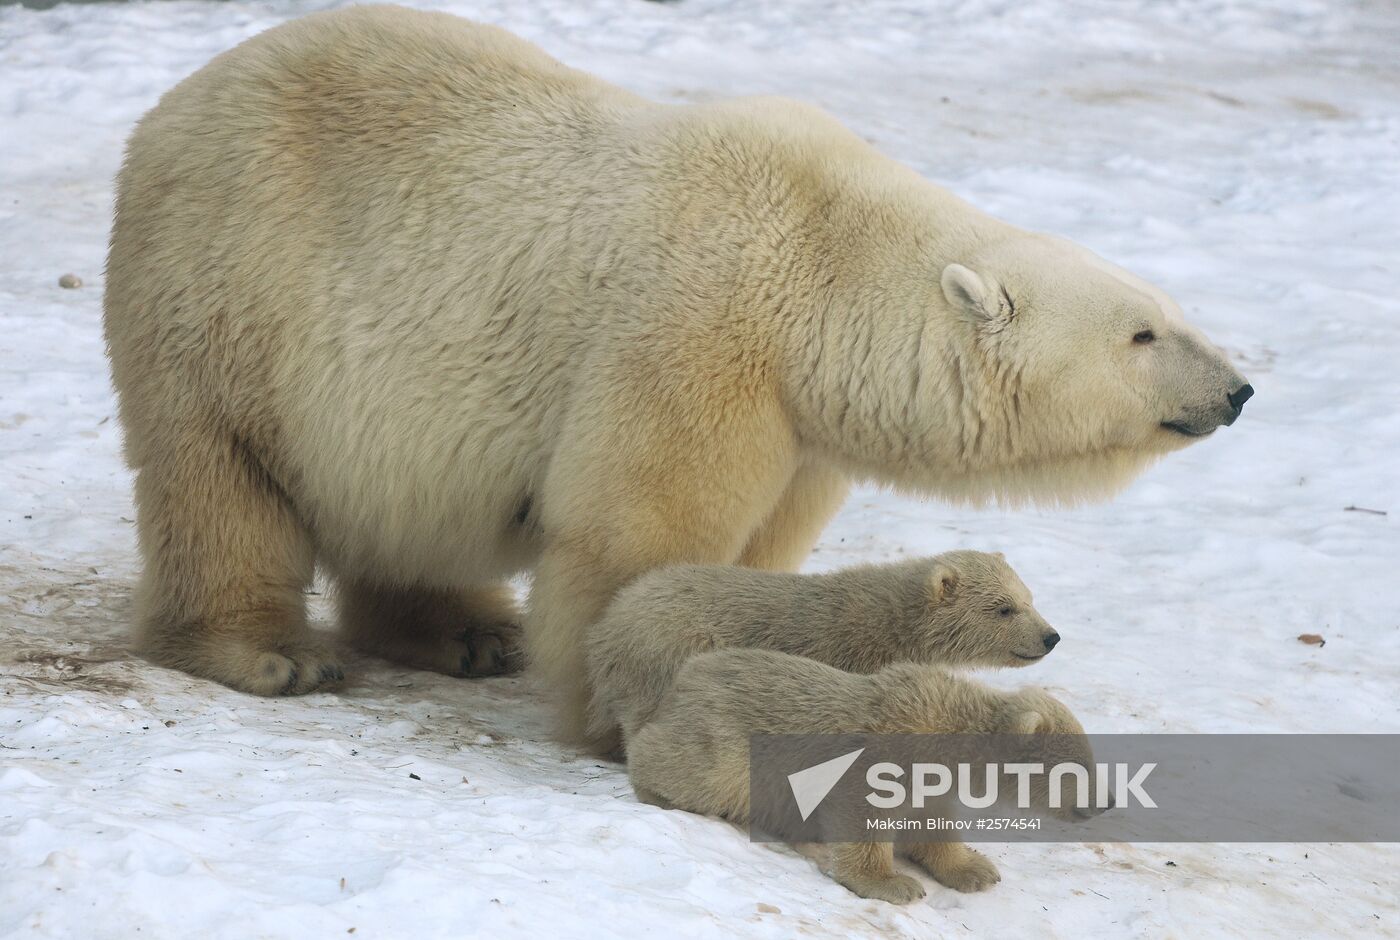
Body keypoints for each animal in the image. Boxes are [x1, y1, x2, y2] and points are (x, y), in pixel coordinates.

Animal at [586, 550, 1058, 752]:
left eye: (1029, 597)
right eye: (1004, 608)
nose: (1051, 637)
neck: (891, 622)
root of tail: (609, 624)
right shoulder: (846, 651)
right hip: (668, 647)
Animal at [626, 648, 1102, 903]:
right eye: (1078, 768)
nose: (1106, 802)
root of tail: (686, 677)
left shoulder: (929, 783)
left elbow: (933, 823)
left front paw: (975, 869)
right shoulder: (882, 759)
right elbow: (860, 817)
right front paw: (895, 884)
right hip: (724, 742)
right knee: (693, 768)